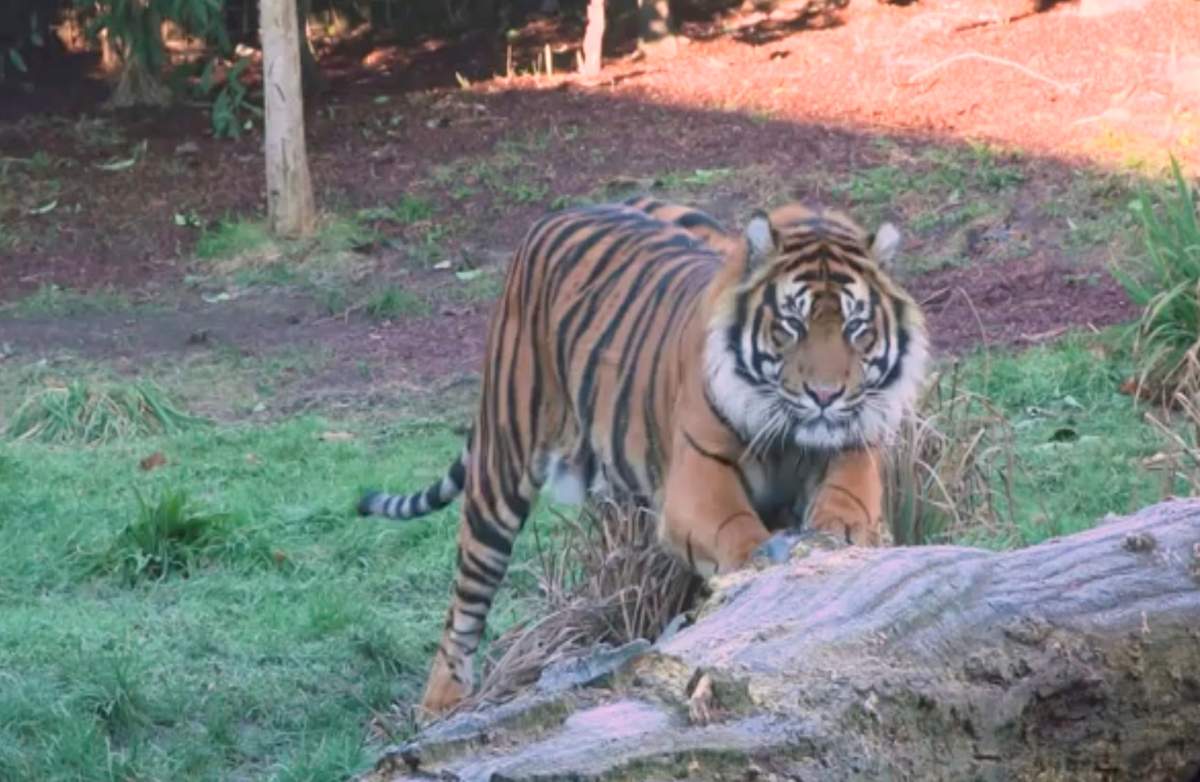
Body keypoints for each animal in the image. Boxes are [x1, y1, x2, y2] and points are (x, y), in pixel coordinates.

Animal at [359, 194, 929, 715]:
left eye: (856, 327)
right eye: (792, 324)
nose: (825, 395)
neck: (791, 433)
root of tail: (562, 211)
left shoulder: (855, 440)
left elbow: (849, 501)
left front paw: (840, 539)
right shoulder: (696, 485)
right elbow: (738, 534)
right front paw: (763, 569)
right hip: (502, 459)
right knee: (467, 595)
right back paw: (441, 703)